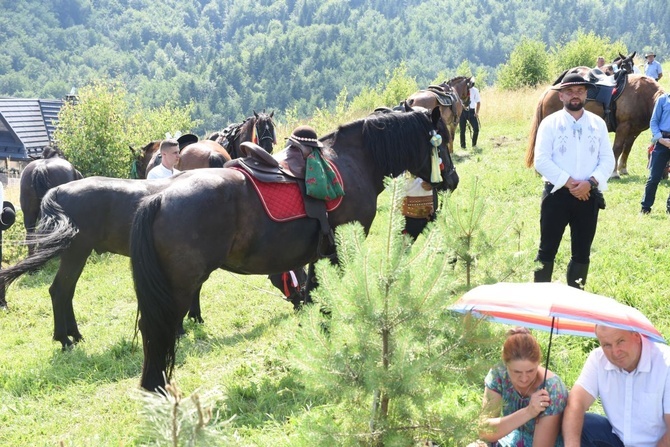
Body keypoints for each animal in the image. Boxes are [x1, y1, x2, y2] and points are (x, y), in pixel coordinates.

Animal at [129, 107, 460, 390]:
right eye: (439, 141)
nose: (453, 179)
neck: (355, 161)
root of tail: (158, 199)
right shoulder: (341, 248)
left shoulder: (319, 255)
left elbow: (313, 293)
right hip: (179, 288)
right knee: (159, 331)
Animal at [528, 72, 664, 177]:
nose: (663, 176)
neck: (641, 95)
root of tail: (548, 92)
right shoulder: (623, 127)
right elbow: (617, 148)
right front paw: (614, 173)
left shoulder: (634, 131)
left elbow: (627, 149)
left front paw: (623, 169)